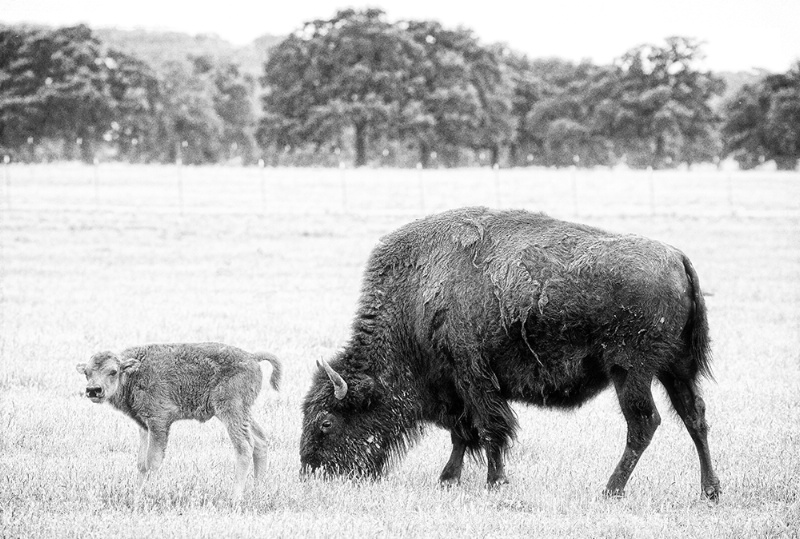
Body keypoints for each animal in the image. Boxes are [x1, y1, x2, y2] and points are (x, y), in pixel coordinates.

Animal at [76, 344, 282, 500]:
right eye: (86, 372)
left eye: (113, 371)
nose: (93, 390)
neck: (135, 372)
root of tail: (252, 357)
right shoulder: (144, 425)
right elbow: (141, 463)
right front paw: (137, 496)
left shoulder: (159, 422)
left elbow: (153, 461)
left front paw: (148, 495)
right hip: (243, 413)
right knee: (260, 442)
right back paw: (258, 492)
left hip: (231, 411)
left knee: (244, 447)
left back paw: (235, 498)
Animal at [302, 208, 724, 502]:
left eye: (326, 422)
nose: (312, 473)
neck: (419, 294)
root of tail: (678, 258)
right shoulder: (457, 387)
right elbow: (462, 433)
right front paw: (448, 479)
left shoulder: (473, 378)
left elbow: (489, 429)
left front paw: (496, 482)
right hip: (676, 370)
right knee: (695, 417)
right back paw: (710, 491)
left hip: (630, 372)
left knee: (644, 423)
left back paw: (611, 490)